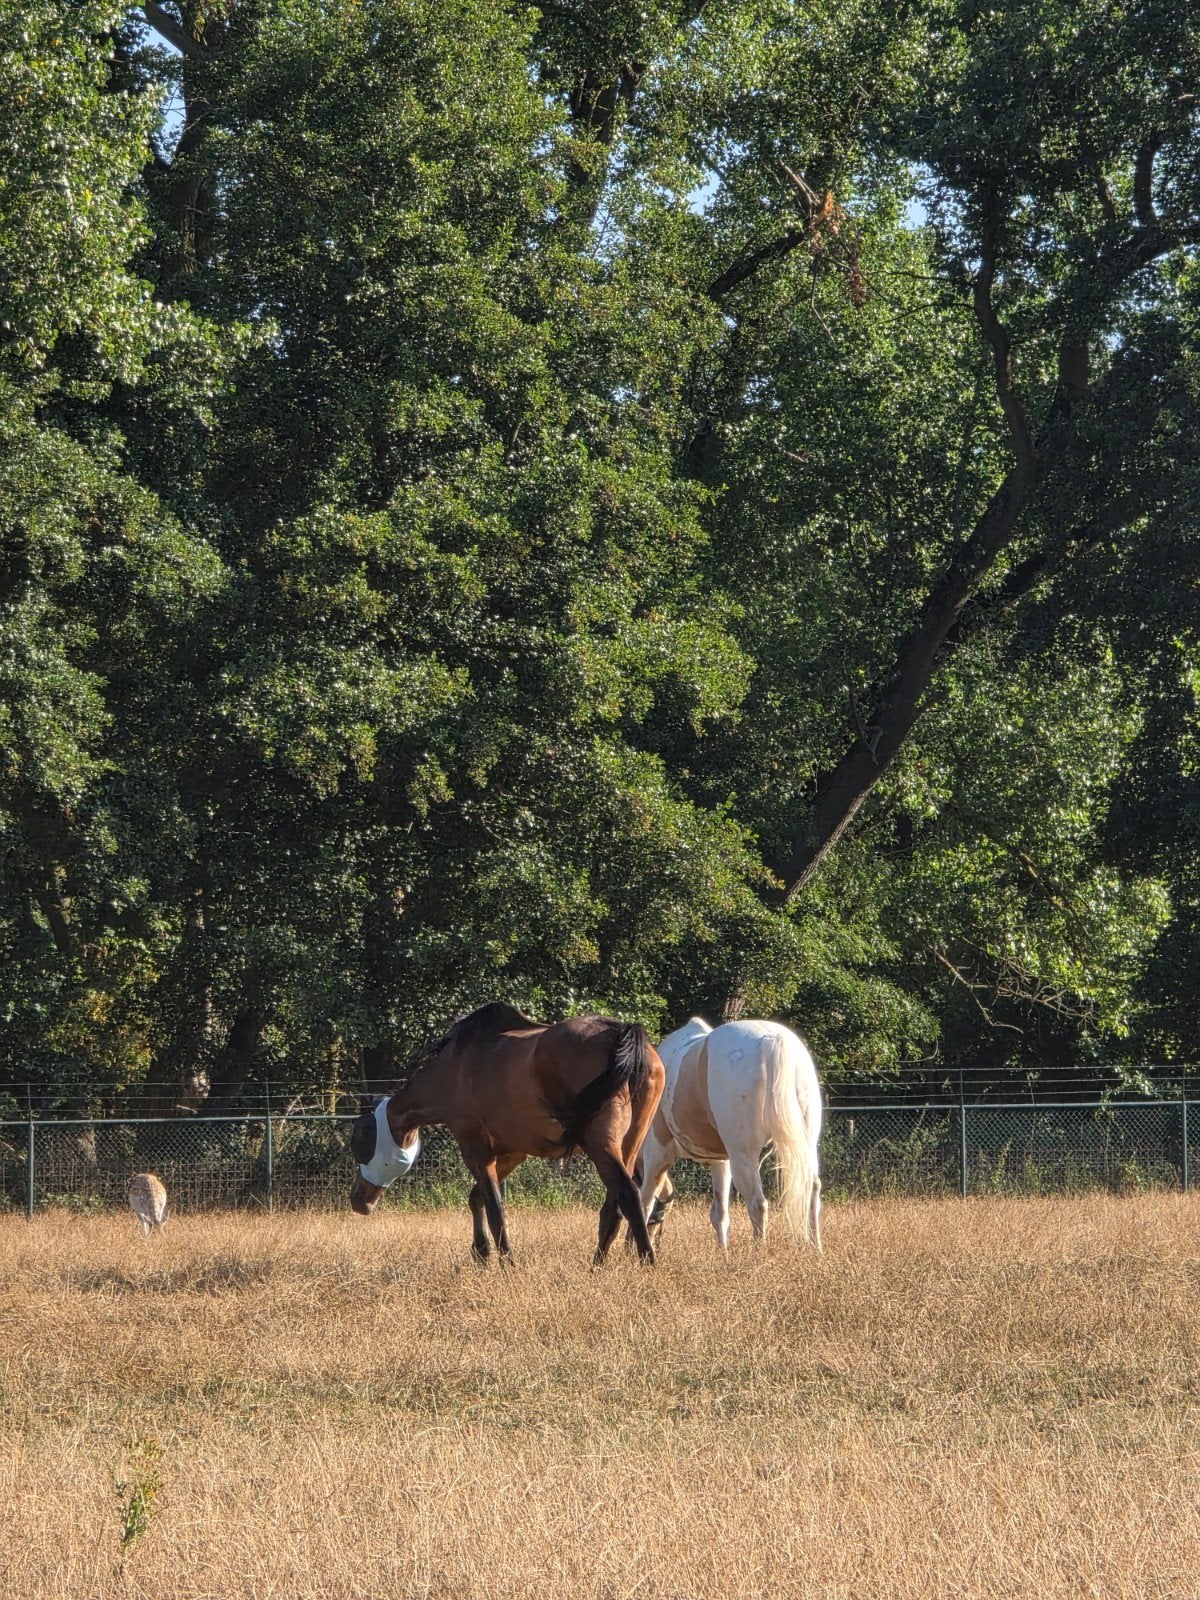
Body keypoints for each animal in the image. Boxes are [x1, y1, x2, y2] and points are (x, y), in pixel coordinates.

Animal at [348, 1001, 665, 1265]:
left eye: (361, 1139)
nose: (357, 1200)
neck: (455, 1065)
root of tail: (622, 1032)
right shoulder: (513, 1153)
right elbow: (477, 1198)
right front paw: (481, 1251)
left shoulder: (474, 1148)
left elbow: (494, 1208)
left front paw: (507, 1262)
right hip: (628, 1145)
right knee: (614, 1206)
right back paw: (597, 1267)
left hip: (601, 1146)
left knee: (629, 1194)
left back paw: (647, 1262)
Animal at [638, 1017, 822, 1250]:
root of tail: (771, 1039)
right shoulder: (720, 1162)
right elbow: (720, 1215)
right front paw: (723, 1252)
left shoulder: (658, 1155)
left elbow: (645, 1203)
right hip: (806, 1147)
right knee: (812, 1191)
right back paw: (816, 1250)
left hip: (743, 1155)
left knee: (758, 1204)